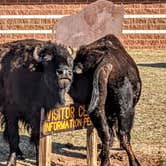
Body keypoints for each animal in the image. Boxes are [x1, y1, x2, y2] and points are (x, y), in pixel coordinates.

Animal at [69, 34, 141, 165]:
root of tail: (105, 62)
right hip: (126, 109)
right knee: (123, 135)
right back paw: (133, 162)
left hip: (96, 109)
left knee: (105, 132)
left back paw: (104, 160)